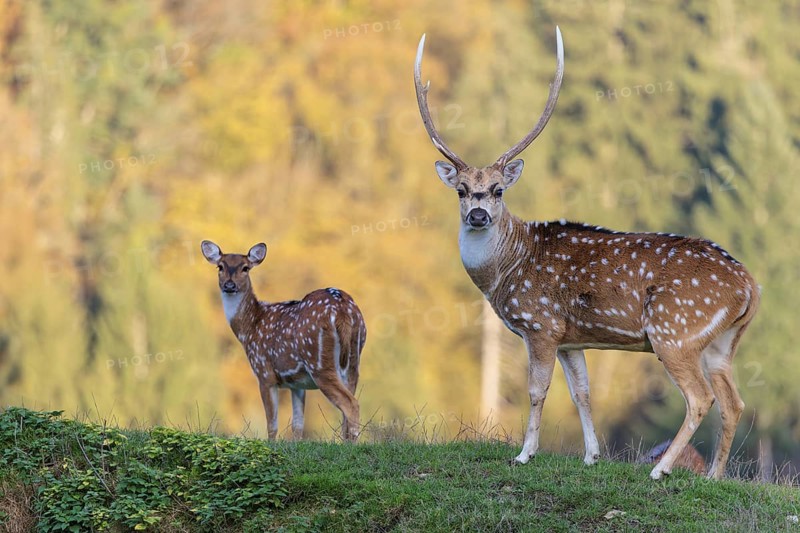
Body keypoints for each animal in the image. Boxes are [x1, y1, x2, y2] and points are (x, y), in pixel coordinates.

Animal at [201, 240, 366, 441]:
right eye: (220, 266)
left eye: (245, 268)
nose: (229, 285)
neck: (250, 327)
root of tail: (342, 309)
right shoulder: (297, 383)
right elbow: (297, 425)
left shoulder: (264, 373)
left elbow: (272, 425)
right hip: (353, 360)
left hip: (318, 361)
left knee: (351, 403)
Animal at [414, 27, 759, 480]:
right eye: (460, 190)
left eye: (498, 190)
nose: (477, 215)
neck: (506, 271)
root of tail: (751, 286)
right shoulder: (570, 339)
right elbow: (582, 392)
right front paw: (591, 455)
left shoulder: (541, 324)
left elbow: (537, 390)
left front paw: (524, 453)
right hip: (722, 342)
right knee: (734, 401)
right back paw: (714, 476)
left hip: (675, 331)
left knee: (701, 397)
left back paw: (660, 470)